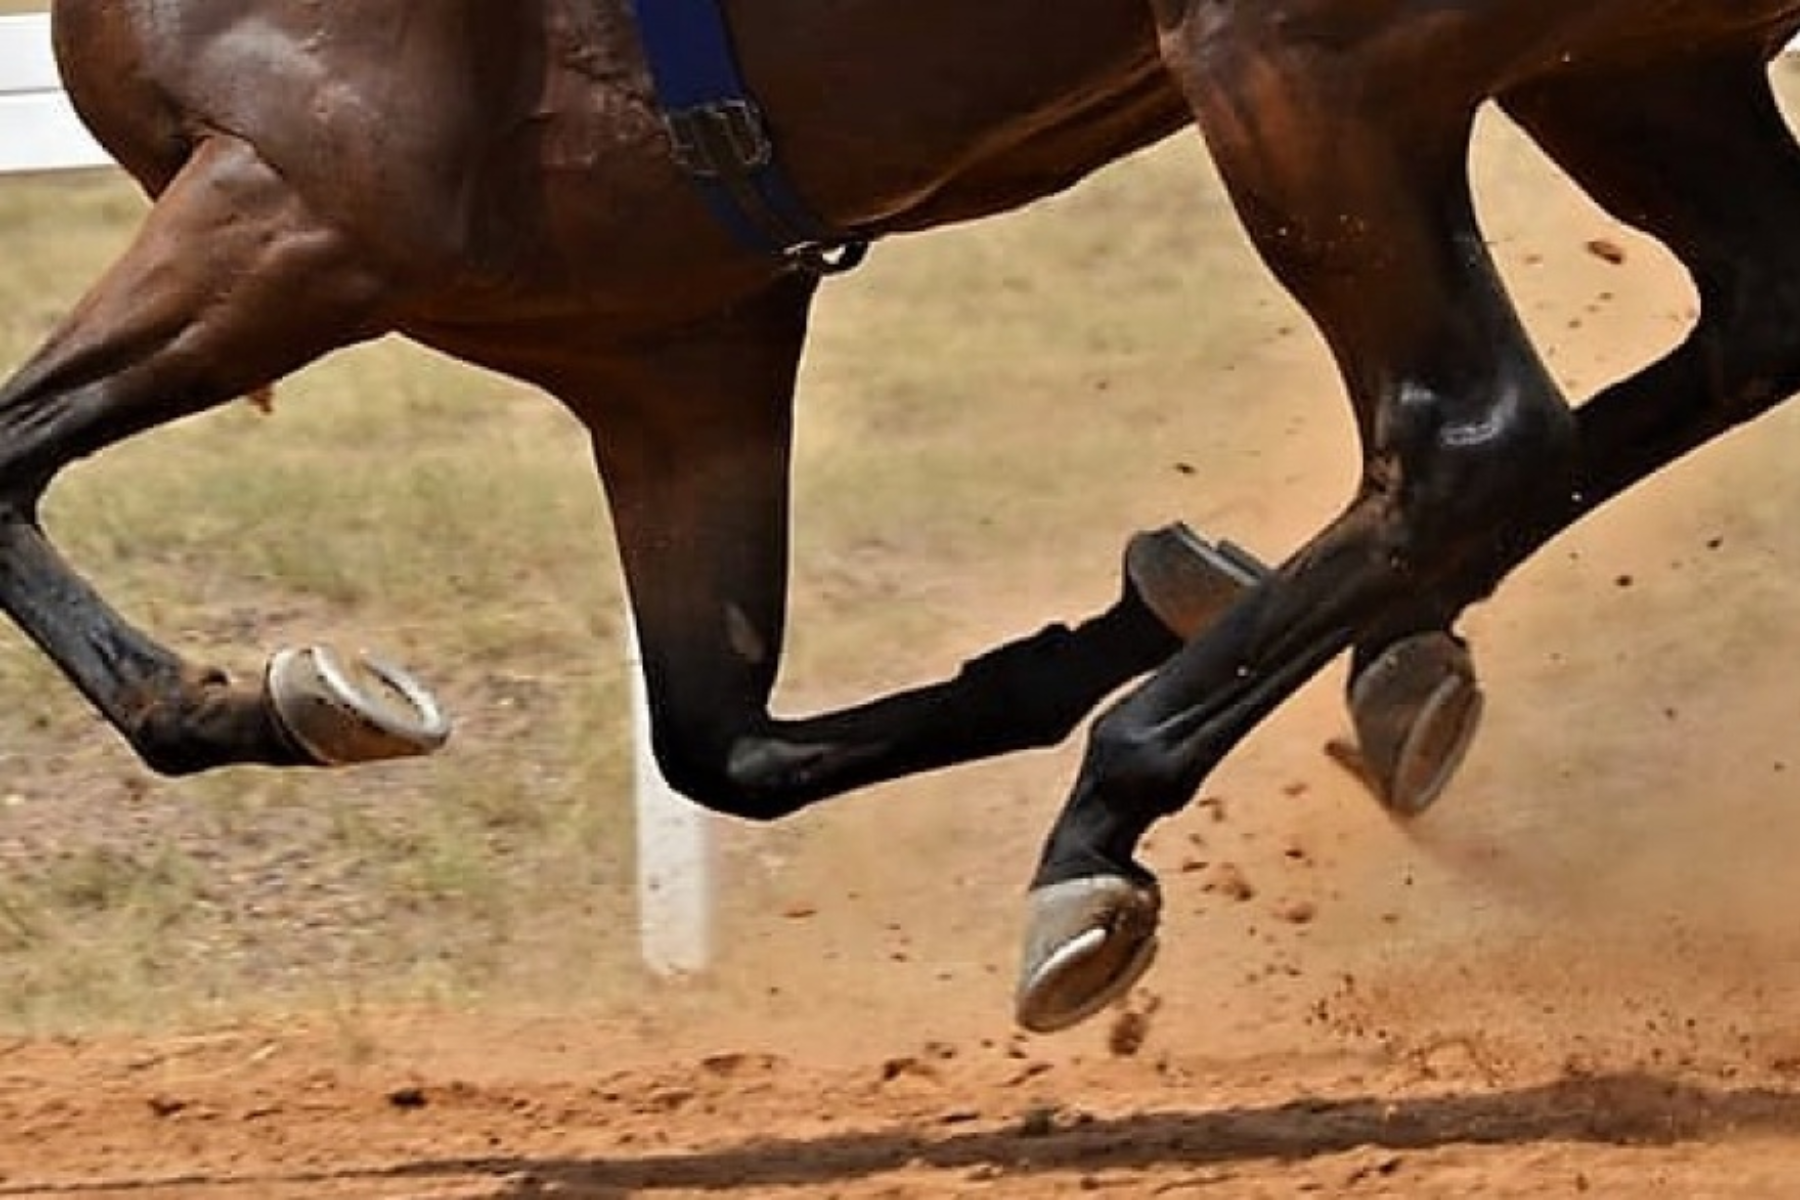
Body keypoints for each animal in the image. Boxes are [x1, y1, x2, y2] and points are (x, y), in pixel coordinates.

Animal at [21, 0, 1800, 1036]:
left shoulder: (297, 208)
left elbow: (3, 463)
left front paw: (264, 699)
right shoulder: (671, 347)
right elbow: (723, 739)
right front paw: (1158, 596)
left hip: (1298, 62)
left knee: (1473, 434)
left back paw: (1104, 832)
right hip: (1610, 59)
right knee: (1741, 327)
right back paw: (1367, 669)